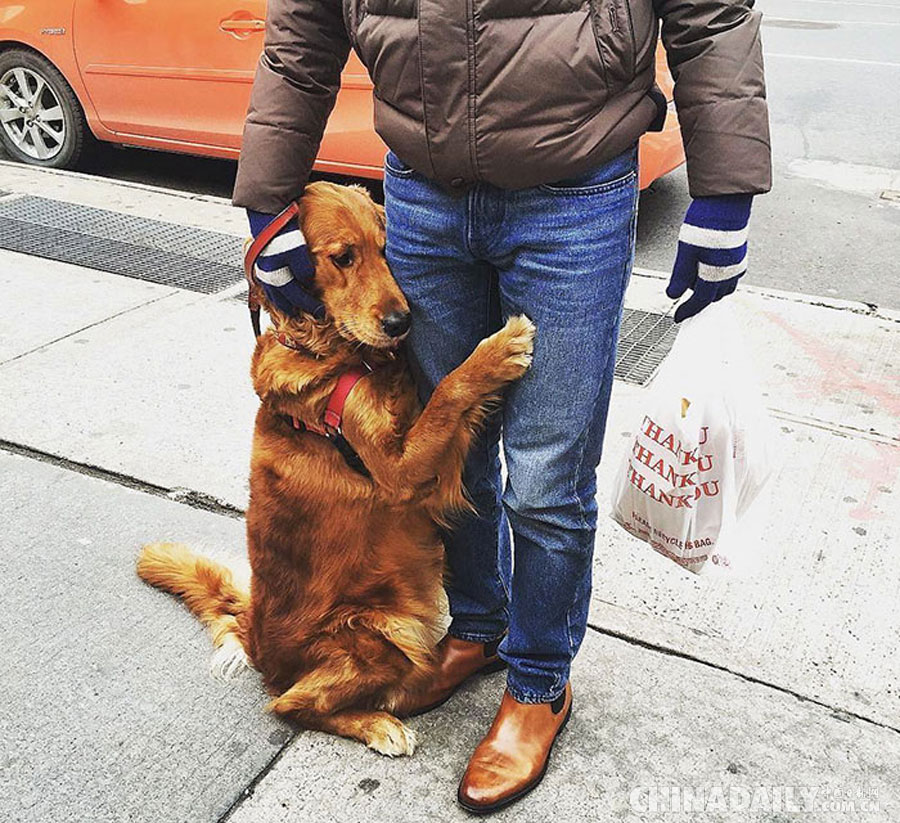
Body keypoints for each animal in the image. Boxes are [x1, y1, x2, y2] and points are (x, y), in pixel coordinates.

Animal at [139, 183, 536, 756]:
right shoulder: (397, 471)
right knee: (292, 705)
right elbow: (448, 391)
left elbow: (439, 398)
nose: (400, 323)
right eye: (343, 257)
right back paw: (379, 723)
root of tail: (256, 638)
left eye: (387, 250)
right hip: (381, 629)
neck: (344, 357)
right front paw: (498, 352)